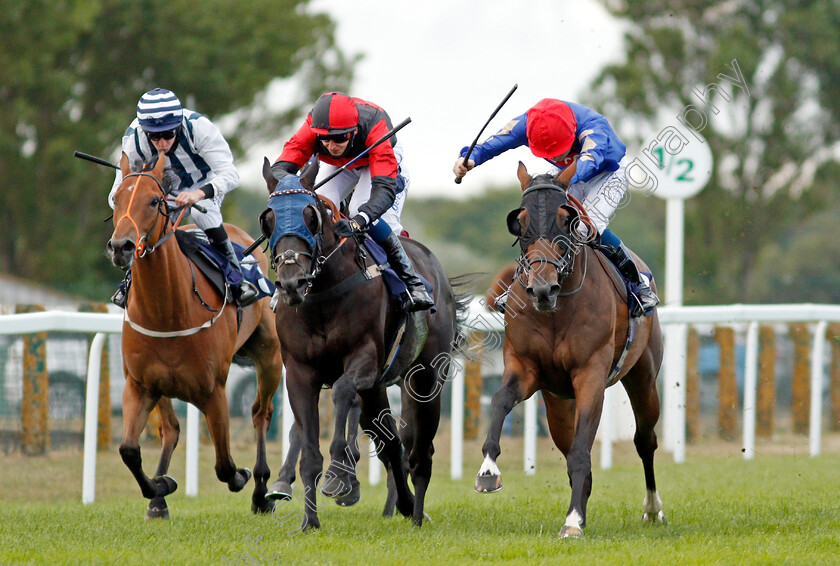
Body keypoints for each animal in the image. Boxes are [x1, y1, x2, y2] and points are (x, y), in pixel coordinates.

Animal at [104, 153, 282, 520]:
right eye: (116, 198)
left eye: (154, 201)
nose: (120, 247)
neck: (168, 310)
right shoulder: (139, 385)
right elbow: (129, 450)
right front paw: (160, 486)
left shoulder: (214, 392)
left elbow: (225, 467)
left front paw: (242, 476)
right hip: (161, 388)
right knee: (171, 429)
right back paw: (159, 498)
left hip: (271, 357)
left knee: (260, 413)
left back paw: (260, 491)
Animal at [260, 161, 460, 532]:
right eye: (269, 219)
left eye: (310, 216)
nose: (292, 283)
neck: (324, 293)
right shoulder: (299, 373)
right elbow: (309, 451)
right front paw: (309, 521)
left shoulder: (364, 360)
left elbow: (341, 392)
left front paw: (339, 476)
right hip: (376, 390)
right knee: (391, 445)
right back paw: (405, 505)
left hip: (425, 377)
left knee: (420, 453)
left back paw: (417, 516)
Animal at [476, 162, 668, 540]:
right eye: (519, 221)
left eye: (567, 219)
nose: (542, 289)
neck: (556, 310)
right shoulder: (525, 368)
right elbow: (500, 400)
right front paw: (488, 471)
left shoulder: (590, 375)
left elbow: (583, 451)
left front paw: (573, 521)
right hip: (557, 404)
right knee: (569, 447)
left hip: (643, 377)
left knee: (644, 439)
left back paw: (652, 508)